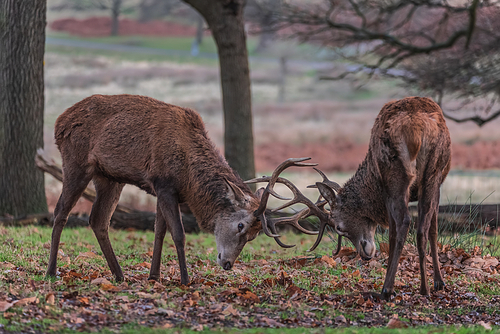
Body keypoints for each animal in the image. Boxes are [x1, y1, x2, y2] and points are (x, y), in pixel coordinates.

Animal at [45, 94, 314, 284]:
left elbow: (158, 231)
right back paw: (51, 271)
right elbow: (178, 233)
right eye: (241, 225)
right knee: (60, 213)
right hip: (76, 163)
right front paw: (185, 279)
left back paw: (119, 275)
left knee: (98, 220)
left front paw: (154, 276)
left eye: (254, 236)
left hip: (109, 177)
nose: (227, 264)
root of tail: (59, 122)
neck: (188, 176)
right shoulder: (164, 183)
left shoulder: (160, 189)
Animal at [310, 96, 452, 300]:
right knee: (422, 229)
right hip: (433, 171)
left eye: (338, 227)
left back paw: (387, 288)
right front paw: (439, 282)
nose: (364, 255)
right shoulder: (438, 185)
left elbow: (392, 233)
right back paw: (425, 288)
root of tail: (418, 130)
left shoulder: (385, 190)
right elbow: (434, 229)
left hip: (396, 174)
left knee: (404, 222)